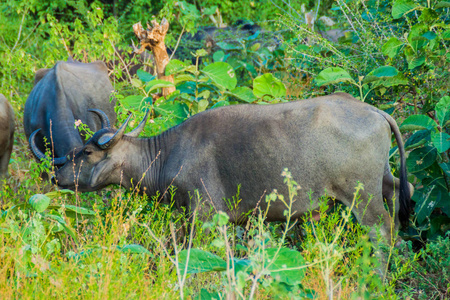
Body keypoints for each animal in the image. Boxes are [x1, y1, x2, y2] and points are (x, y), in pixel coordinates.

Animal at [54, 93, 414, 255]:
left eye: (87, 152)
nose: (56, 172)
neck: (168, 153)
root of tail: (375, 111)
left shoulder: (204, 214)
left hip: (362, 195)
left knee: (382, 228)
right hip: (383, 180)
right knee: (400, 191)